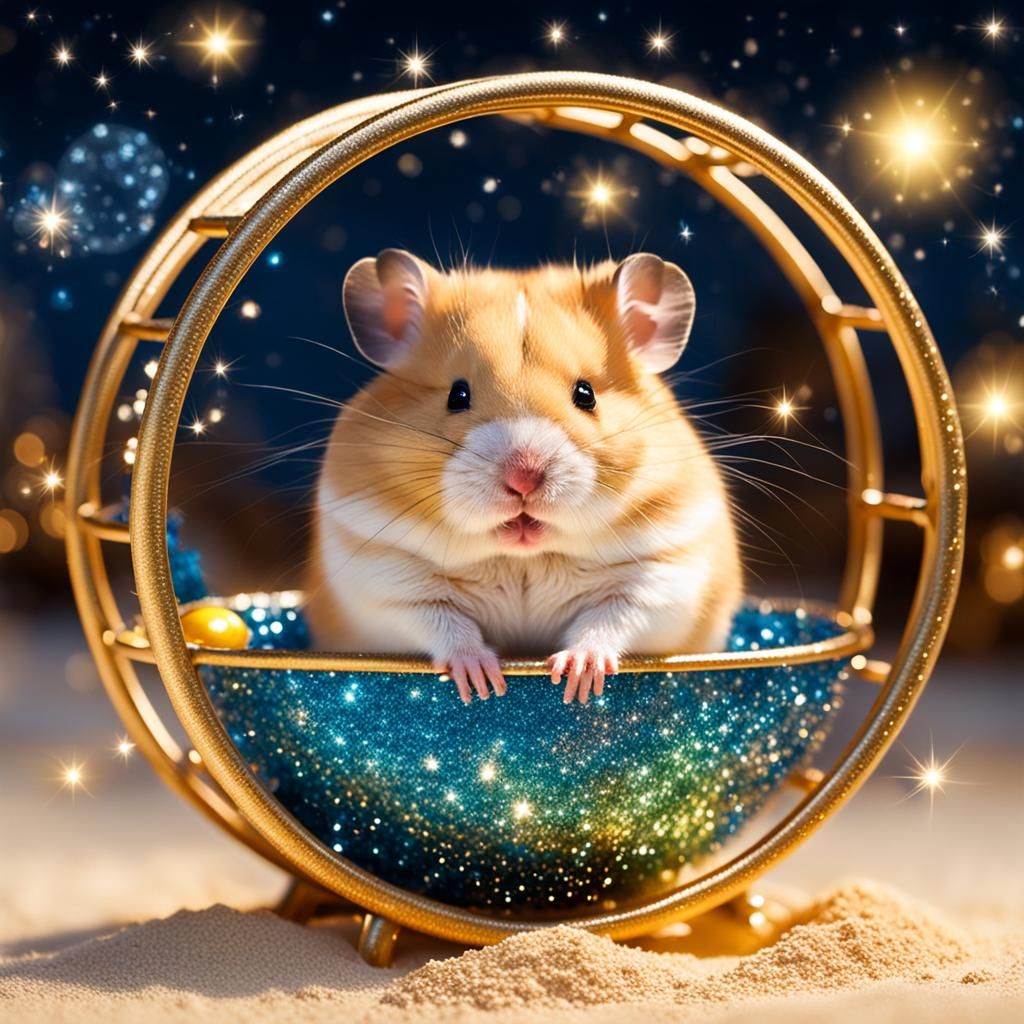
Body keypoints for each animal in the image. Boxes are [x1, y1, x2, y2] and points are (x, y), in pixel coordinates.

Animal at [306, 250, 742, 705]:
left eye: (586, 394)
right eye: (457, 395)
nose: (524, 478)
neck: (523, 558)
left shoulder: (664, 571)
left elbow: (611, 618)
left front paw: (574, 679)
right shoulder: (382, 577)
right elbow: (443, 623)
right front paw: (485, 683)